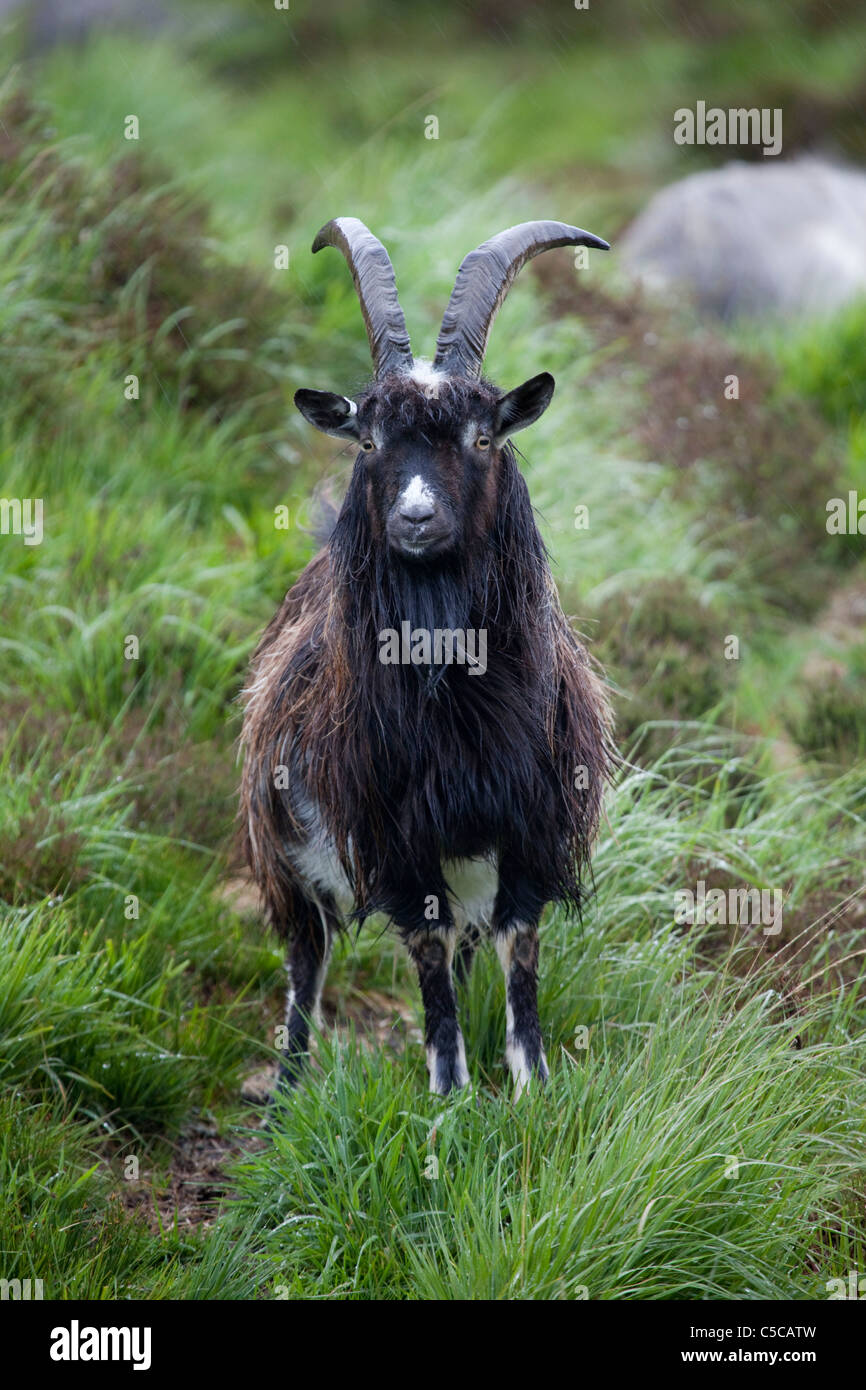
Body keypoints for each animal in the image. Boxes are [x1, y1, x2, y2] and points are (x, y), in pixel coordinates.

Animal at [240, 216, 614, 1095]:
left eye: (482, 436)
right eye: (370, 439)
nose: (415, 518)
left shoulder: (531, 824)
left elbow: (519, 945)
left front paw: (530, 1086)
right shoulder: (393, 838)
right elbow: (427, 950)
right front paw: (449, 1091)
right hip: (282, 849)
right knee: (306, 958)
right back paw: (287, 1093)